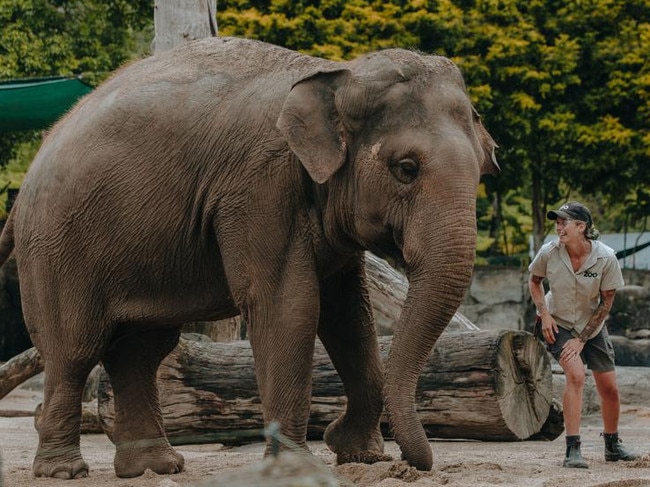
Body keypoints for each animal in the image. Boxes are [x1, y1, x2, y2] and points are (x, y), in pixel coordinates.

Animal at [0, 38, 498, 480]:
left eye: (483, 166)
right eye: (405, 169)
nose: (415, 464)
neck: (335, 74)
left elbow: (350, 314)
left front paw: (361, 457)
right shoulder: (258, 187)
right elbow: (291, 306)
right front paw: (300, 468)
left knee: (141, 350)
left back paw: (155, 468)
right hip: (57, 248)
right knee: (74, 349)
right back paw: (64, 471)